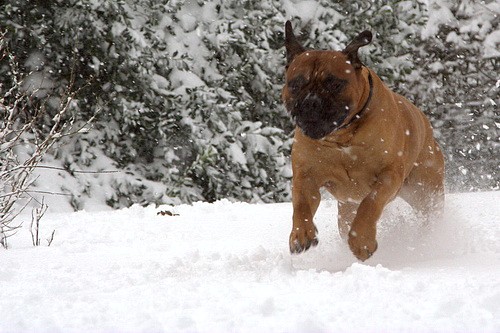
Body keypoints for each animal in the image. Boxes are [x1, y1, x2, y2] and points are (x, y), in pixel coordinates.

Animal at [282, 20, 446, 260]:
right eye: (295, 84)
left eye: (334, 83)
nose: (311, 101)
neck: (341, 137)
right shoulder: (307, 176)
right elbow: (301, 205)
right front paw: (300, 234)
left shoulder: (388, 175)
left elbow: (370, 203)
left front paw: (362, 241)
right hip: (347, 210)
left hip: (424, 191)